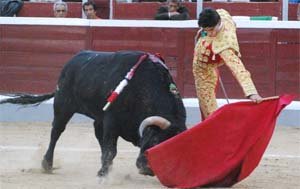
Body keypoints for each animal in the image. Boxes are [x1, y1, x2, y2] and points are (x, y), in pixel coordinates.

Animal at [0, 50, 188, 177]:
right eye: (155, 141)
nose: (147, 169)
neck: (144, 88)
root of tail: (72, 61)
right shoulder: (112, 120)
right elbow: (111, 149)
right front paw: (103, 174)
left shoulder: (111, 122)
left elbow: (108, 148)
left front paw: (105, 170)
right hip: (63, 106)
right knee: (56, 132)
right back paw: (47, 164)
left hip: (97, 116)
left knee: (97, 134)